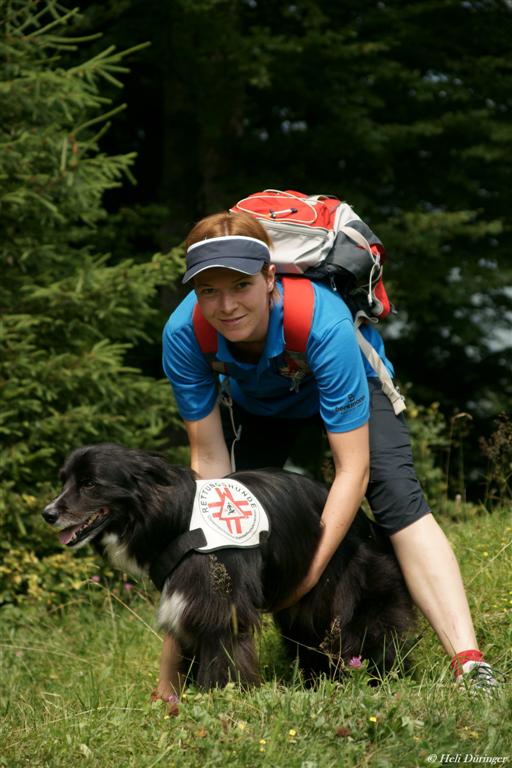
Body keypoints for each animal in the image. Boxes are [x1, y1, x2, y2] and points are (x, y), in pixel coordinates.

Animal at [43, 442, 415, 689]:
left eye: (90, 483)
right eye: (64, 481)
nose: (48, 513)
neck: (175, 517)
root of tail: (367, 524)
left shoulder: (219, 610)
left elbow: (223, 663)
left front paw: (221, 700)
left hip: (354, 601)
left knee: (376, 636)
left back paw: (387, 679)